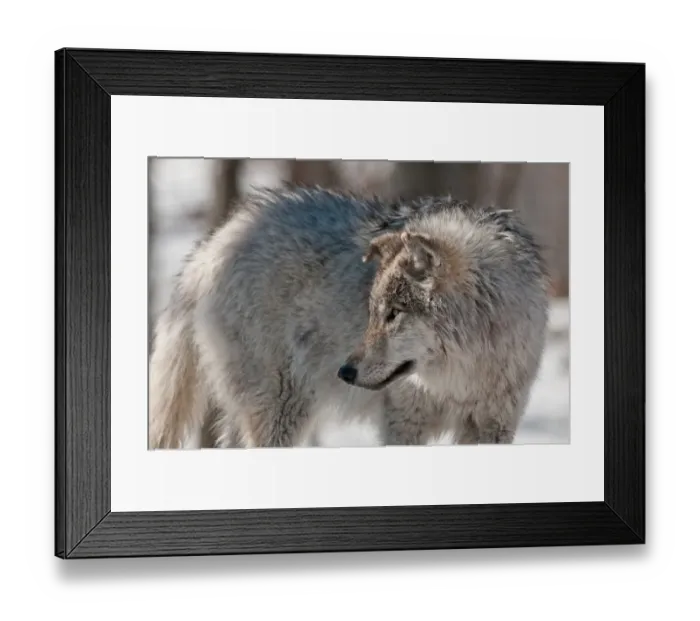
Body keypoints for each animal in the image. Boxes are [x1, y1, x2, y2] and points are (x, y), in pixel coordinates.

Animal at [148, 186, 550, 449]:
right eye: (373, 312)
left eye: (393, 314)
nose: (345, 371)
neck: (460, 375)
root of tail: (211, 248)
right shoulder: (403, 422)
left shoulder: (493, 424)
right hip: (281, 411)